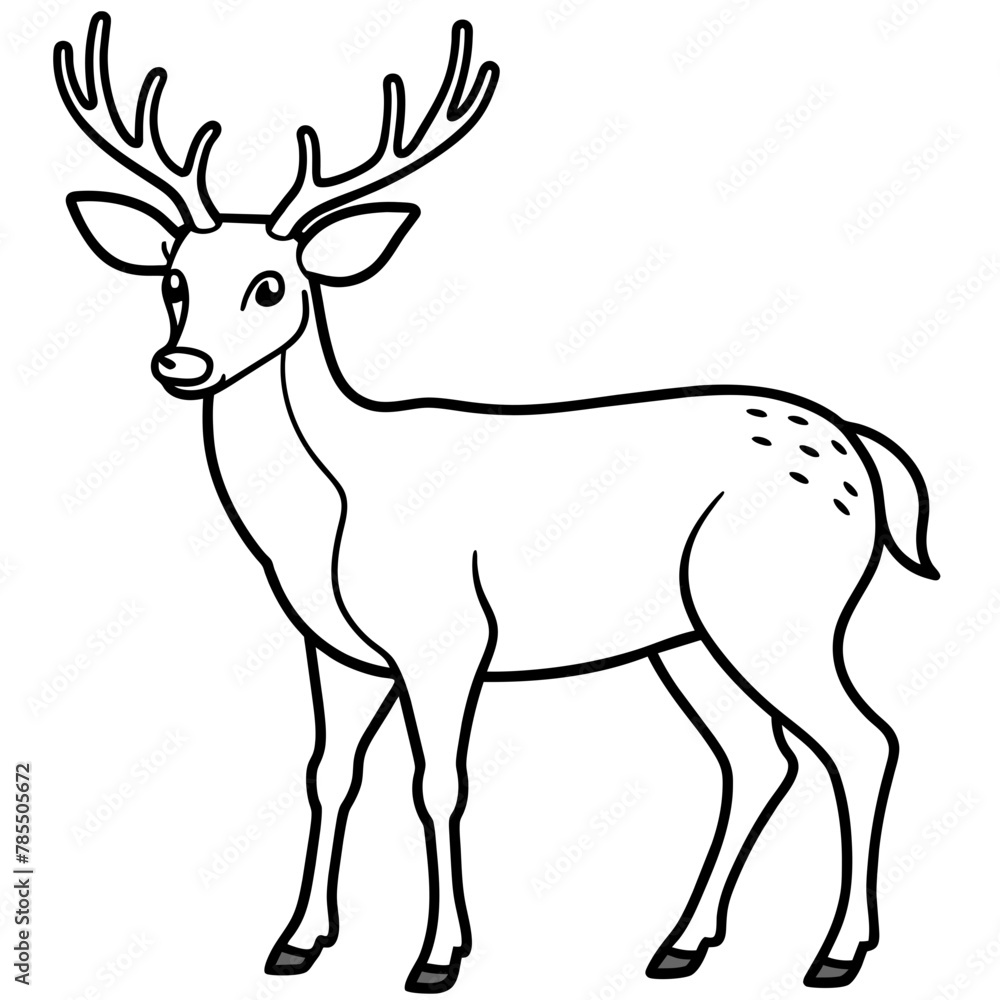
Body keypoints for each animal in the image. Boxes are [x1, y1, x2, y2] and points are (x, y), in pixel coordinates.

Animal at [56, 11, 938, 993]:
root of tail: (862, 452)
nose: (181, 363)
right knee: (757, 758)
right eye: (172, 278)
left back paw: (837, 952)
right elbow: (327, 774)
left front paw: (438, 956)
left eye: (271, 284)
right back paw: (681, 944)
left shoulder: (447, 636)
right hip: (690, 635)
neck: (325, 519)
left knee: (864, 741)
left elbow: (438, 784)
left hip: (783, 605)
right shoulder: (336, 649)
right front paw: (297, 941)